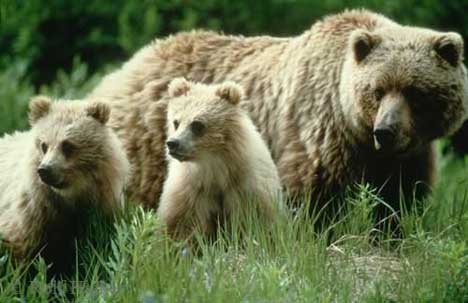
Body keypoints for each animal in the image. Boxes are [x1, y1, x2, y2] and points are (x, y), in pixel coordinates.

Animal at [89, 8, 466, 218]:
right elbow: (312, 197)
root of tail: (124, 69)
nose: (385, 131)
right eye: (377, 89)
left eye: (415, 92)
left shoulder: (408, 156)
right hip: (150, 145)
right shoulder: (319, 135)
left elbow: (398, 201)